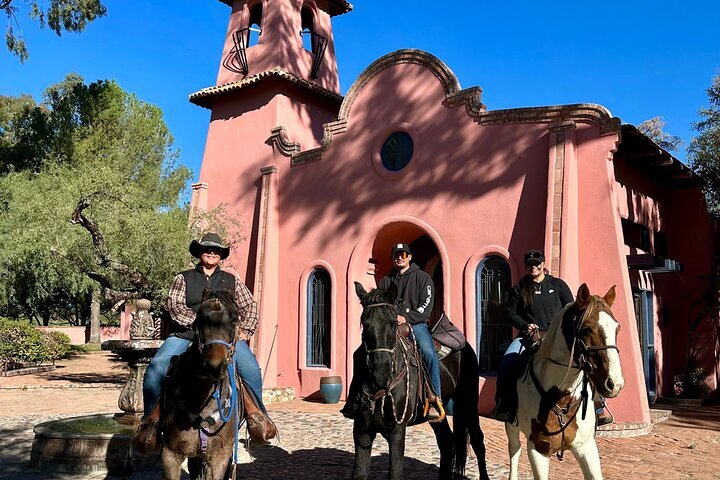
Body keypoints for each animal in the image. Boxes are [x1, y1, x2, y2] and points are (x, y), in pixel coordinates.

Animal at [352, 282, 492, 480]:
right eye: (364, 324)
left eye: (393, 324)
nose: (381, 374)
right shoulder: (362, 431)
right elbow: (359, 473)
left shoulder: (397, 432)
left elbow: (395, 473)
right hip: (439, 412)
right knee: (446, 441)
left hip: (468, 401)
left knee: (477, 440)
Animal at [504, 284, 620, 478]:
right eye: (586, 329)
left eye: (617, 329)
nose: (614, 383)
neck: (561, 397)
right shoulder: (538, 450)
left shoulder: (586, 447)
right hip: (511, 425)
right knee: (514, 450)